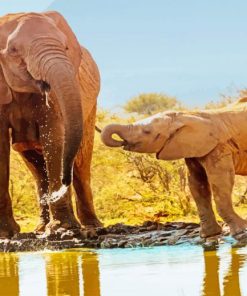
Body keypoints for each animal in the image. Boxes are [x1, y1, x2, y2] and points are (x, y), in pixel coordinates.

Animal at [0, 12, 101, 238]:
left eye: (66, 48)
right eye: (13, 51)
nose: (64, 182)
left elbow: (54, 138)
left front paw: (63, 229)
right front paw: (6, 234)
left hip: (91, 108)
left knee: (82, 163)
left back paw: (93, 226)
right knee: (37, 169)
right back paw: (40, 228)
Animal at [101, 99, 247, 240]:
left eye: (147, 131)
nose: (121, 142)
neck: (183, 115)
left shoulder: (220, 147)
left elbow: (220, 181)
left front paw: (241, 231)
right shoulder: (194, 149)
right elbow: (197, 184)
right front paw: (209, 235)